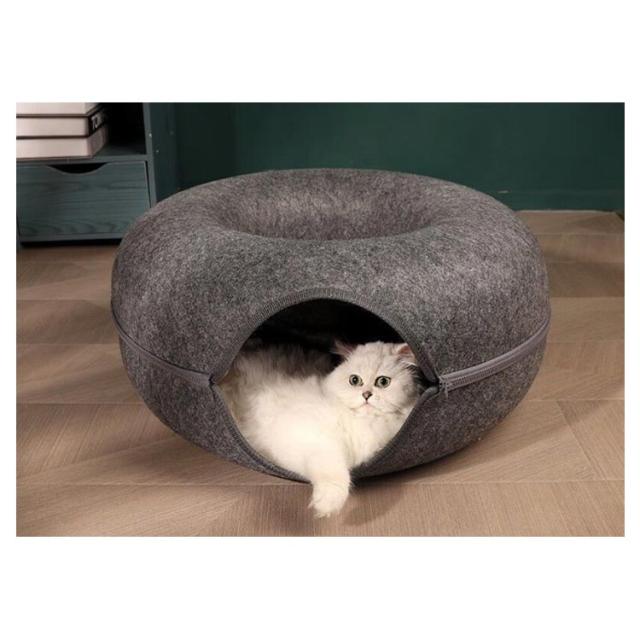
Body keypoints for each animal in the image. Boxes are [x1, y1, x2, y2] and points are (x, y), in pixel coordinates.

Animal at [218, 340, 422, 517]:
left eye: (383, 382)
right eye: (355, 380)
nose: (366, 395)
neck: (363, 422)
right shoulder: (315, 439)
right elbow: (333, 471)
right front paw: (326, 507)